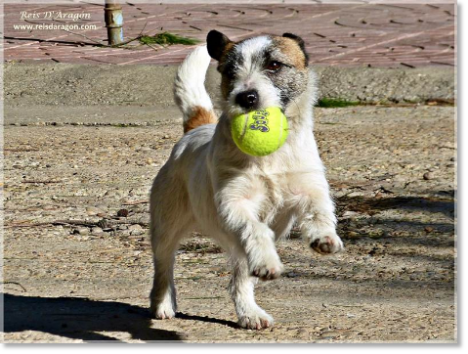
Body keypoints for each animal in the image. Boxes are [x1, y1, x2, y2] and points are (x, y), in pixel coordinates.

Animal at [150, 29, 344, 330]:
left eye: (274, 65)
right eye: (230, 71)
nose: (246, 97)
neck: (270, 157)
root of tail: (195, 129)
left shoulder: (309, 187)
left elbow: (319, 210)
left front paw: (323, 236)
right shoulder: (235, 202)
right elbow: (255, 228)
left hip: (241, 254)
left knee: (240, 279)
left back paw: (250, 312)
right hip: (166, 226)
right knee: (164, 264)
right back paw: (163, 303)